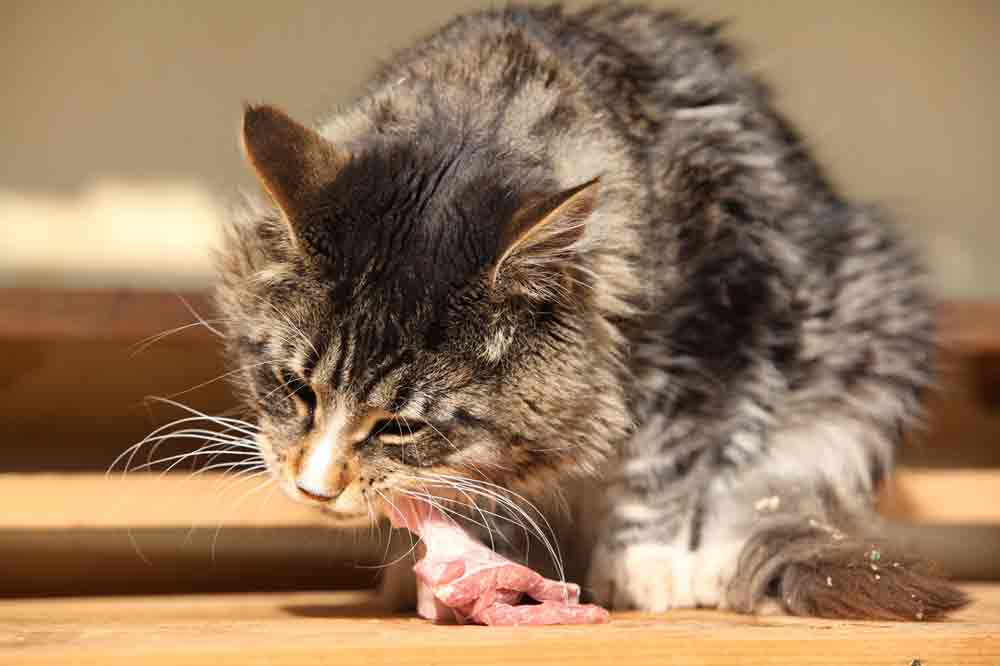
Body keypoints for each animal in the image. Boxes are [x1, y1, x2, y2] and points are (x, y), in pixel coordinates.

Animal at [213, 2, 968, 620]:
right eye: (295, 388)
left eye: (399, 426)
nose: (315, 490)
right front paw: (464, 574)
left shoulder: (717, 324)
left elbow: (667, 465)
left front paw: (645, 567)